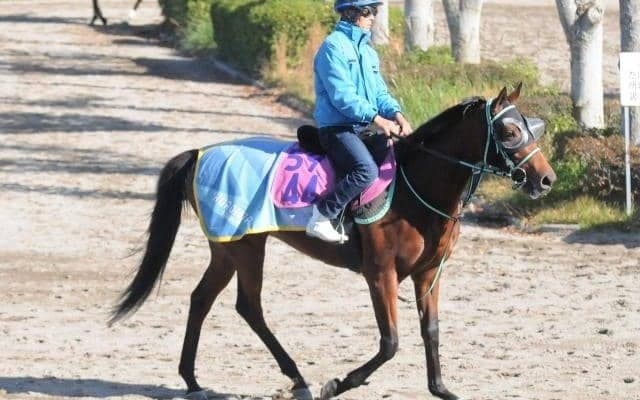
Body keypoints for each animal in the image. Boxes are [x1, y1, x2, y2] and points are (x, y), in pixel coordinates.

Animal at [109, 83, 556, 400]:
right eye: (509, 130)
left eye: (532, 126)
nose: (546, 179)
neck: (415, 189)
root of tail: (201, 152)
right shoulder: (380, 274)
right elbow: (390, 342)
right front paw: (338, 383)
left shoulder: (429, 274)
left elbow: (431, 331)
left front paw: (441, 389)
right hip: (245, 247)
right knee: (248, 306)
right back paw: (296, 378)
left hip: (228, 248)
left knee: (203, 299)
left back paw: (194, 380)